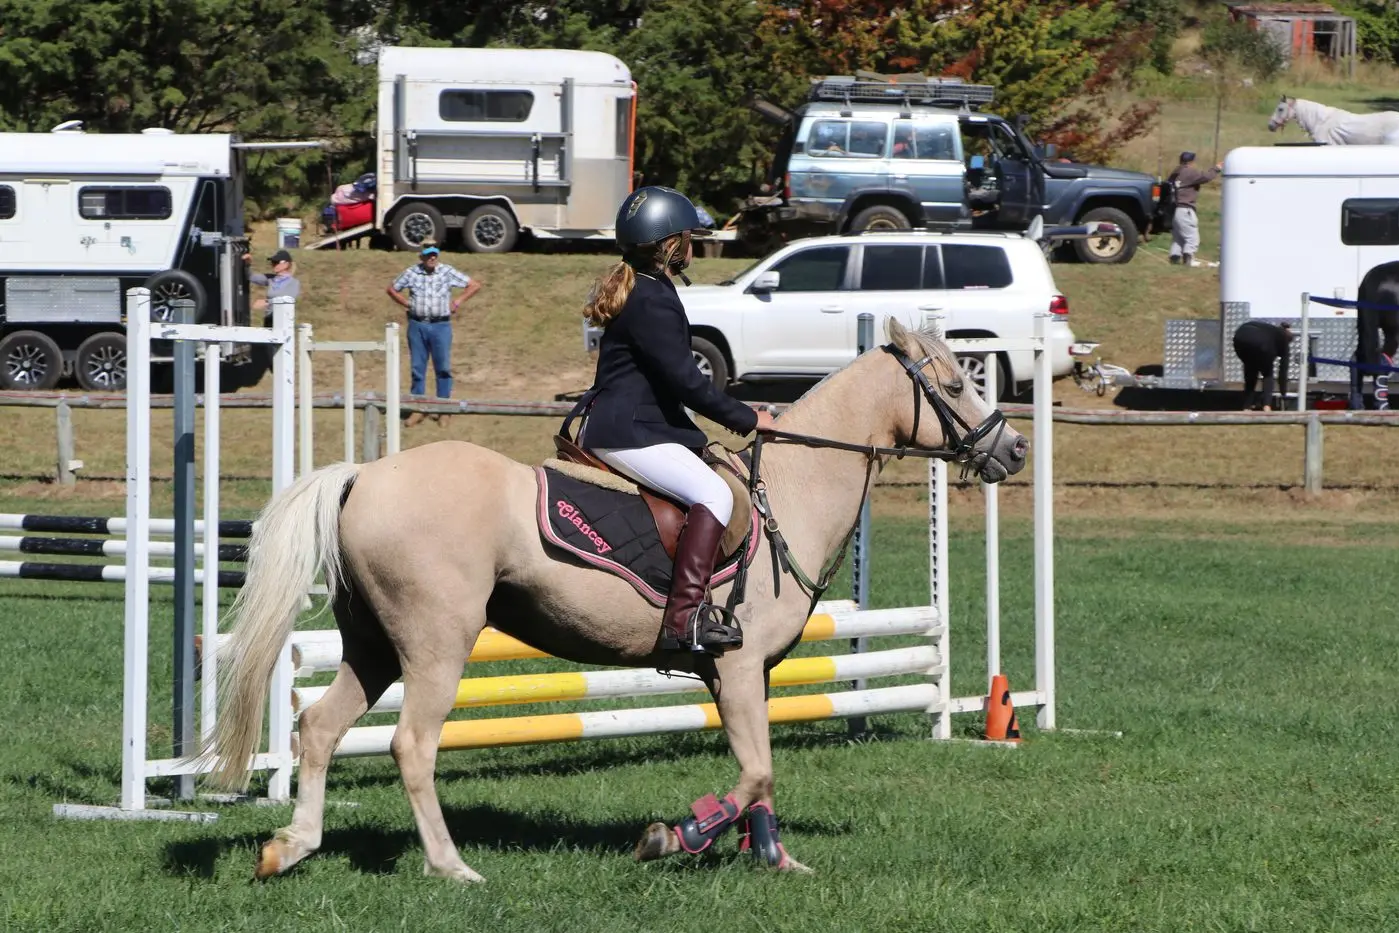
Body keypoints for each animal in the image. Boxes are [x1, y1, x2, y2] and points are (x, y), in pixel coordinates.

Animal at [193, 317, 1028, 883]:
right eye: (956, 383)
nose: (1012, 448)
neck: (788, 492)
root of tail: (364, 475)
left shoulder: (750, 674)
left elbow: (760, 770)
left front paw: (773, 857)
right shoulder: (735, 666)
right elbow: (754, 772)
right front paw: (675, 836)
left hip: (372, 645)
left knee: (318, 727)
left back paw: (290, 847)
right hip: (435, 645)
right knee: (412, 745)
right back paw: (451, 865)